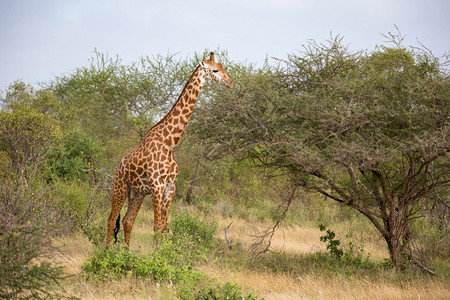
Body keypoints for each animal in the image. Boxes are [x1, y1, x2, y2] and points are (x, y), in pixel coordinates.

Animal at [106, 52, 232, 247]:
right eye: (215, 70)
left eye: (222, 66)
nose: (230, 82)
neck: (170, 143)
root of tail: (118, 167)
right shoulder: (157, 186)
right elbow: (156, 226)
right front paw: (156, 255)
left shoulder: (170, 187)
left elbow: (163, 226)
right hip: (119, 188)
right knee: (111, 220)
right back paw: (104, 251)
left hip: (137, 194)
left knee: (127, 221)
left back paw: (126, 253)